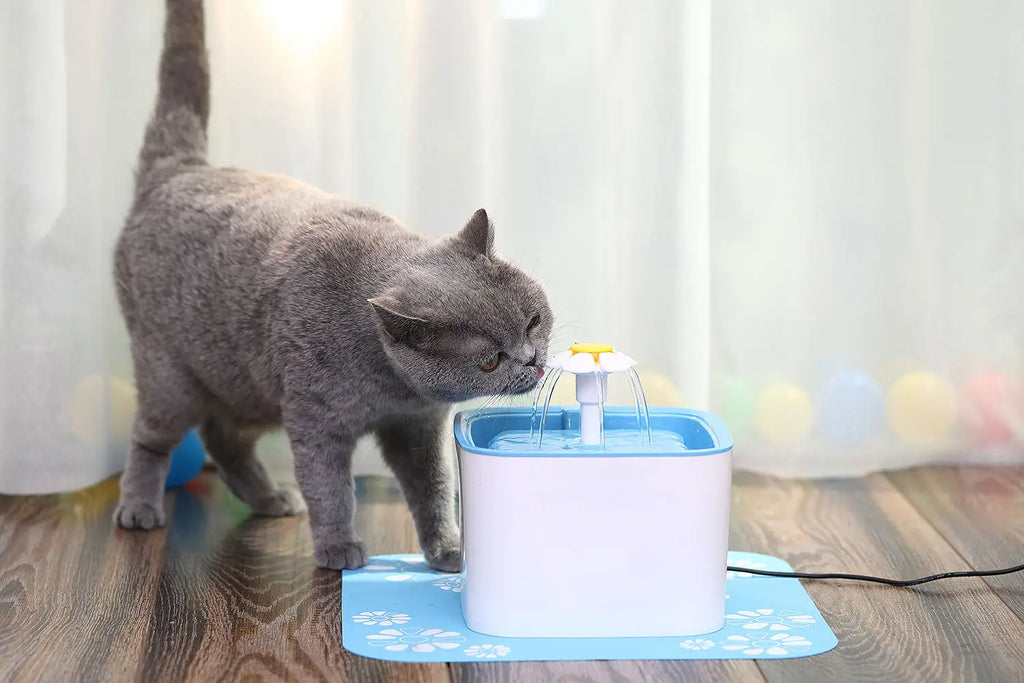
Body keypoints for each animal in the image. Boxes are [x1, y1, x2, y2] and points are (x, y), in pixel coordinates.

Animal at [112, 0, 552, 573]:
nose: (531, 358)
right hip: (172, 374)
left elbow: (434, 491)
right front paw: (340, 549)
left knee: (223, 438)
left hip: (249, 388)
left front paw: (447, 550)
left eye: (532, 320)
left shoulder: (417, 426)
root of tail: (178, 170)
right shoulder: (316, 420)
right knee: (152, 438)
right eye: (490, 360)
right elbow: (329, 486)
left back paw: (271, 498)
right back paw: (139, 508)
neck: (391, 388)